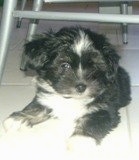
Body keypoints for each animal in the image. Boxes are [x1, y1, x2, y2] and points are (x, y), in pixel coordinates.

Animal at [3, 26, 131, 150]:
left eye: (94, 66)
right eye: (65, 65)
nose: (81, 87)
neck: (70, 98)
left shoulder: (104, 108)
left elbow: (91, 121)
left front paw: (81, 140)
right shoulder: (45, 98)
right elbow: (35, 107)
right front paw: (19, 118)